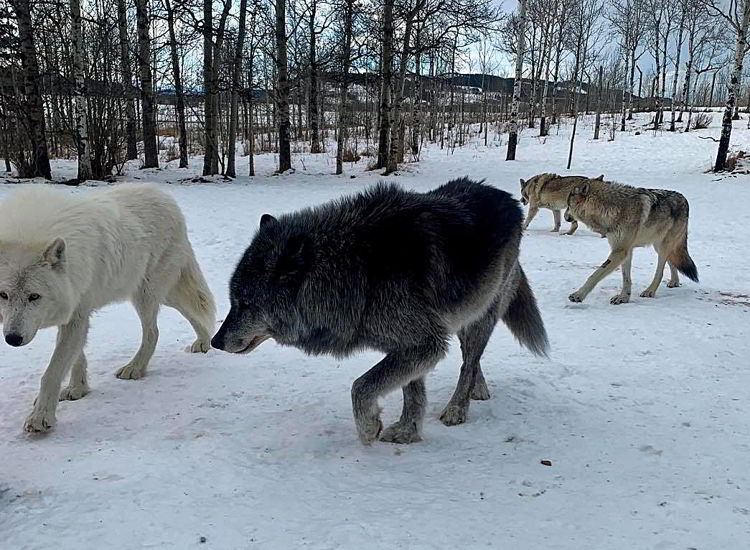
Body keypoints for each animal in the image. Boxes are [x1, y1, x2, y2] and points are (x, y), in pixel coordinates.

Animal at [0, 187, 217, 436]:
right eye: (3, 295)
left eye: (34, 296)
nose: (12, 339)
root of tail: (165, 197)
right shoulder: (73, 311)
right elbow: (76, 357)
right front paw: (77, 389)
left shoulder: (76, 315)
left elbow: (52, 372)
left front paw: (40, 418)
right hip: (164, 294)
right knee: (190, 311)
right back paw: (204, 342)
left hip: (146, 294)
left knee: (154, 332)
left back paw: (135, 368)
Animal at [212, 179, 548, 446]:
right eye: (233, 300)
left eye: (245, 303)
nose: (215, 342)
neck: (357, 269)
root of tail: (506, 197)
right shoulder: (411, 344)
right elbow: (412, 392)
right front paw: (408, 432)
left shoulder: (424, 343)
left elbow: (361, 386)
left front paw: (370, 428)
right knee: (473, 360)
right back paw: (479, 389)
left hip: (478, 318)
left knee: (469, 362)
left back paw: (457, 409)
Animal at [568, 178, 704, 304]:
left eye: (568, 205)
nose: (566, 217)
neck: (611, 208)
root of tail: (684, 198)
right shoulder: (625, 250)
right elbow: (626, 278)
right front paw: (623, 297)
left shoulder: (620, 251)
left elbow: (595, 274)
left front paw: (578, 295)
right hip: (658, 245)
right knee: (671, 261)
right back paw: (674, 282)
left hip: (663, 247)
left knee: (660, 271)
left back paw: (650, 291)